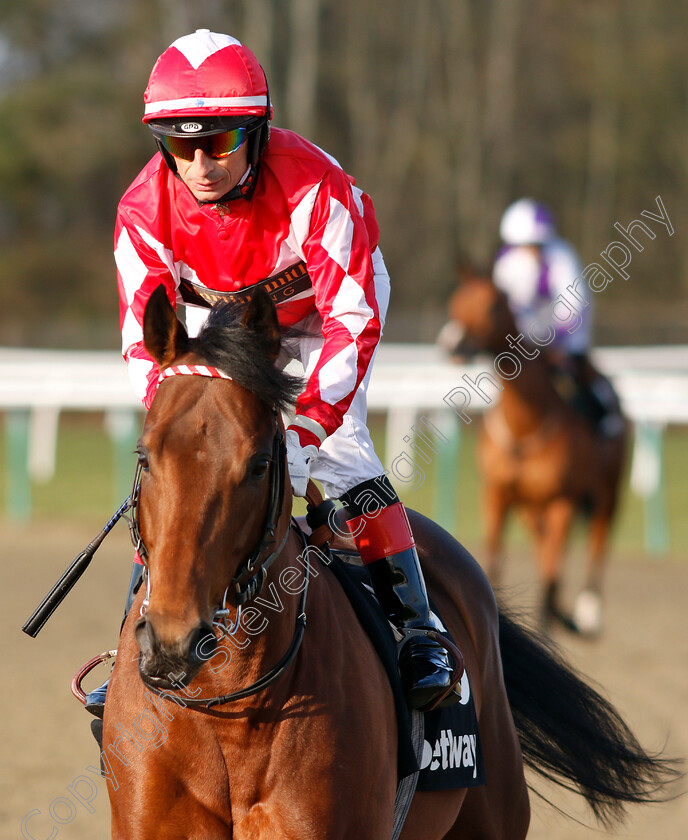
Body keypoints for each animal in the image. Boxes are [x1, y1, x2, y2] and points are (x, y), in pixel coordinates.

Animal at [440, 270, 628, 636]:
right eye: (455, 299)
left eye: (492, 305)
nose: (453, 344)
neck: (525, 425)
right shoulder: (497, 495)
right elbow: (495, 563)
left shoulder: (563, 502)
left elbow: (552, 573)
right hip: (530, 507)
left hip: (607, 494)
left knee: (597, 544)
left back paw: (587, 614)